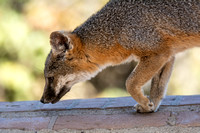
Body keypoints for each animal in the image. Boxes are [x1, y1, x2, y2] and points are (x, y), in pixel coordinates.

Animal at [40, 0, 200, 112]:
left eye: (50, 78)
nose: (41, 100)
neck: (117, 28)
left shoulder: (158, 54)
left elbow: (130, 83)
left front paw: (145, 103)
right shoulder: (168, 54)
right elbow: (158, 87)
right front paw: (151, 107)